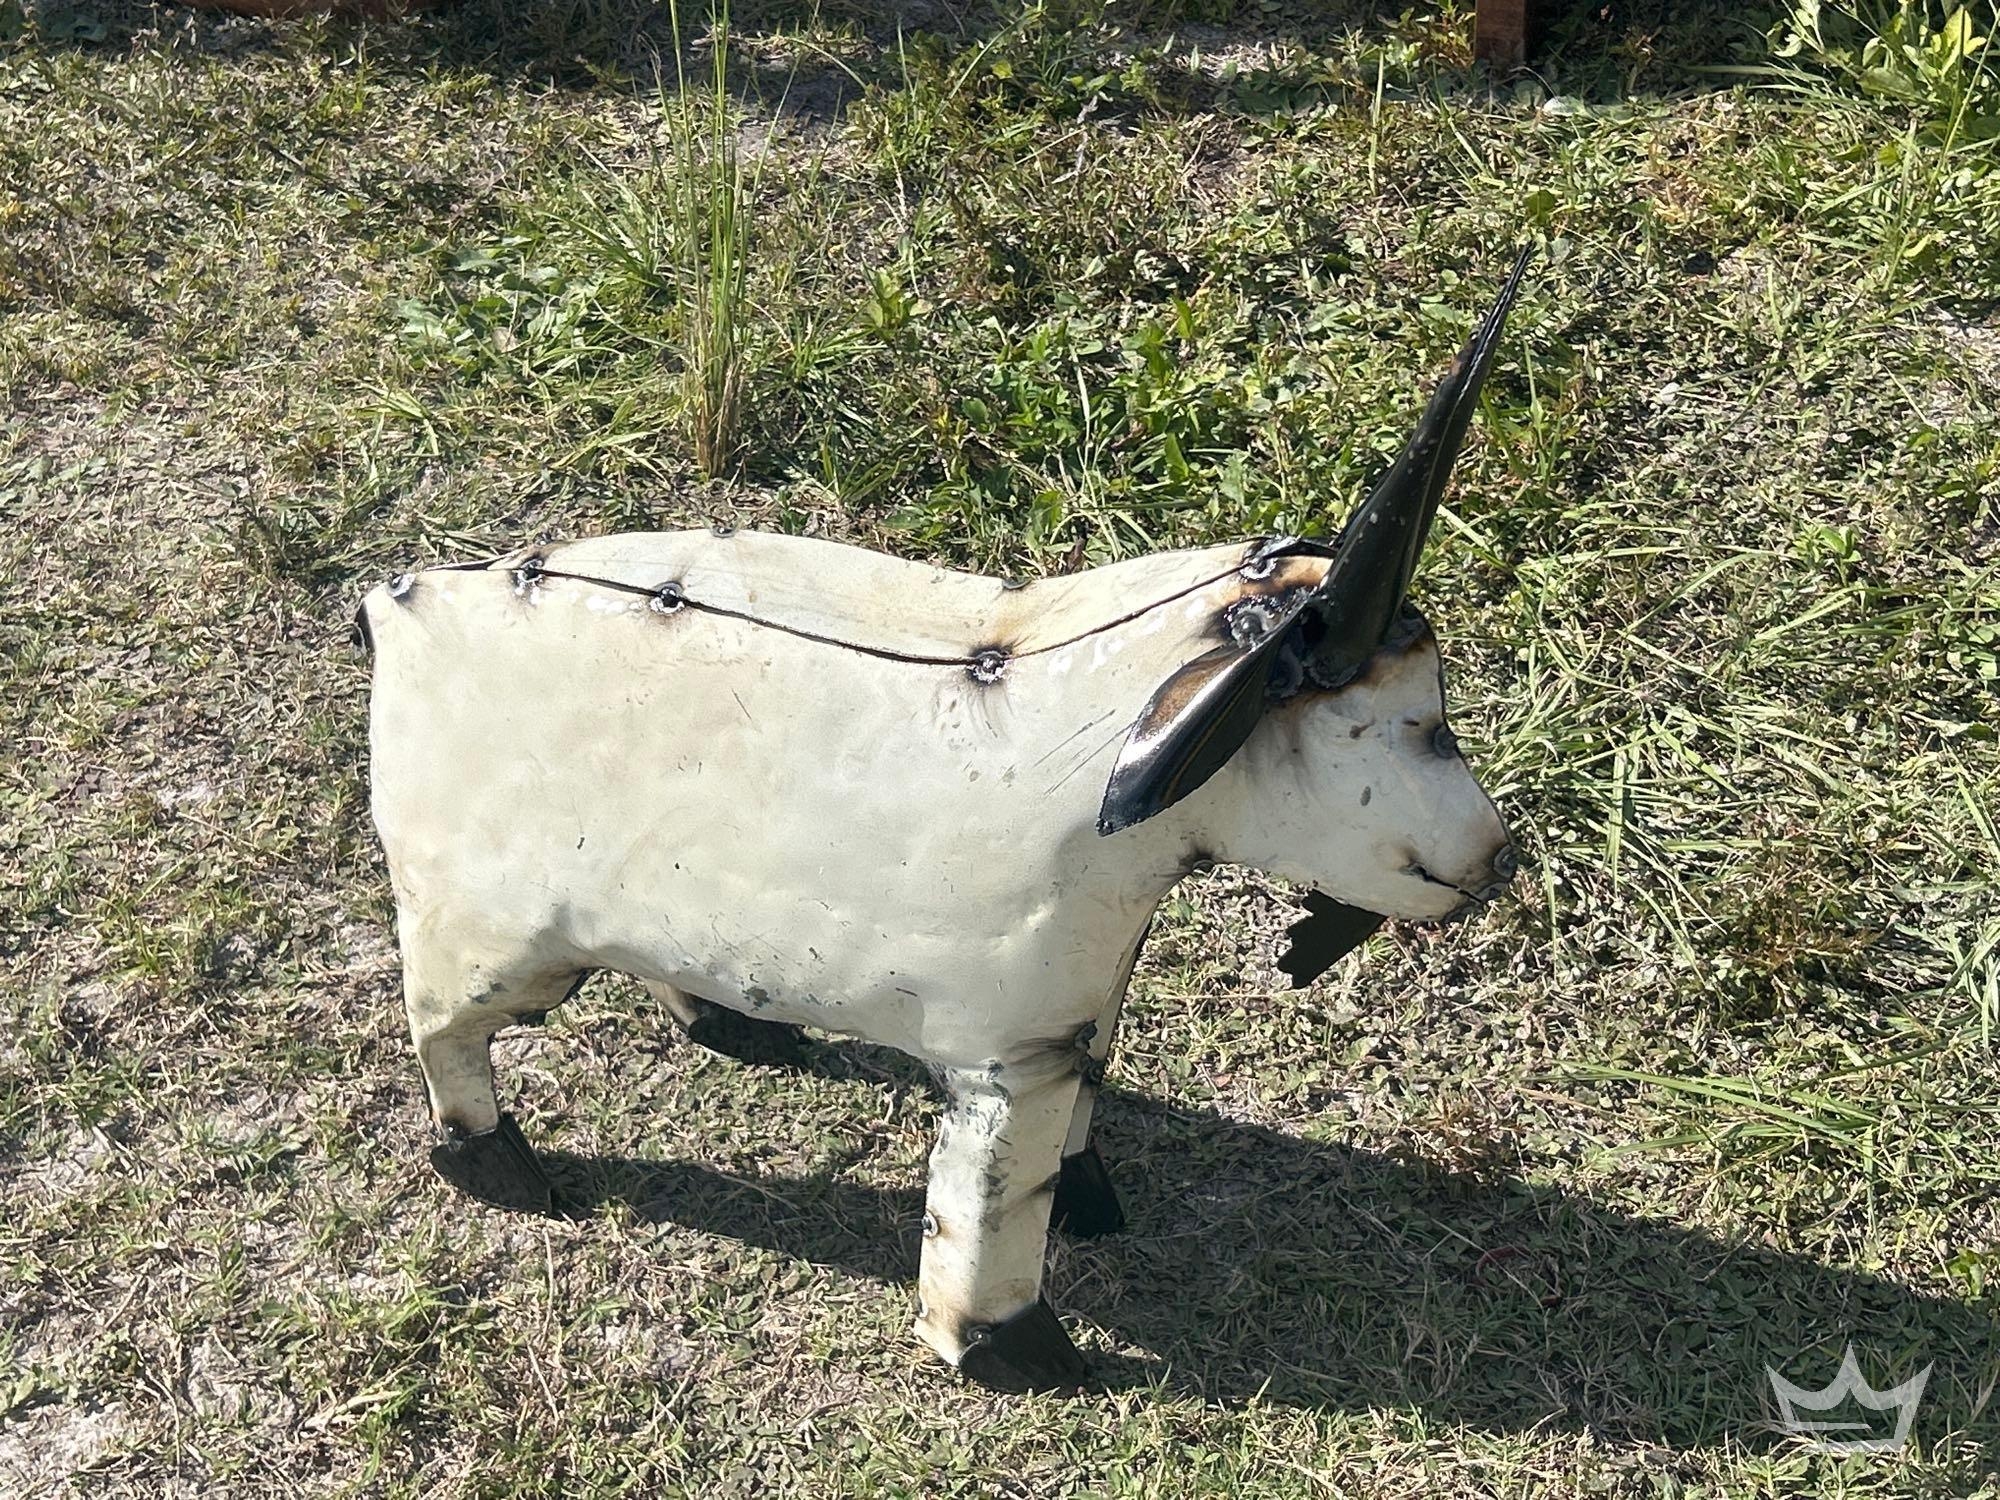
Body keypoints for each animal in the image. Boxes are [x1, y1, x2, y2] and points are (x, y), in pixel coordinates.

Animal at [360, 249, 1530, 1392]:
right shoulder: (1001, 1060)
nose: (1497, 861)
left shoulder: (1077, 1013)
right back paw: (500, 1169)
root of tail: (394, 601)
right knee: (443, 1035)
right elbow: (989, 1206)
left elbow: (1072, 1137)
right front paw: (1014, 1354)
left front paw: (1090, 1206)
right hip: (484, 934)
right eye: (1411, 726)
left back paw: (736, 1027)